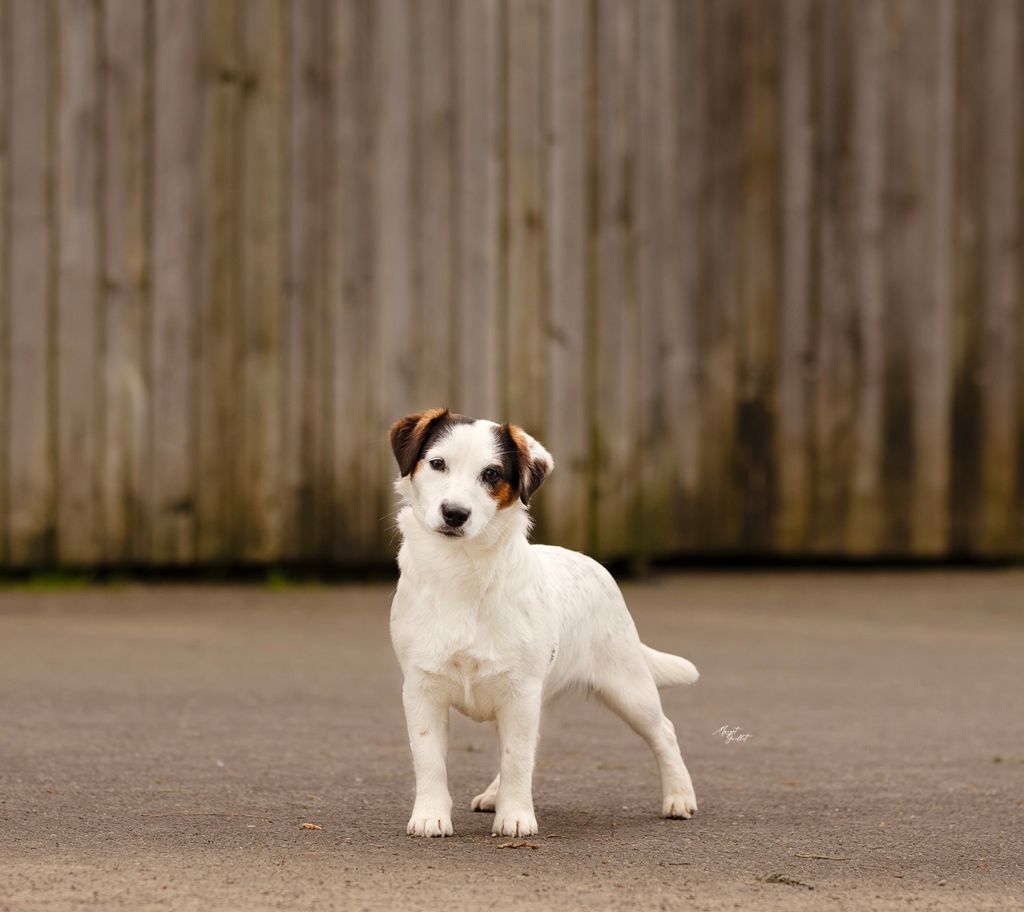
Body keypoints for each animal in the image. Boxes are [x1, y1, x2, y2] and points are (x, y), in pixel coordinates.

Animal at [387, 409, 700, 839]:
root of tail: (594, 564)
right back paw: (494, 793)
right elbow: (430, 758)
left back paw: (679, 797)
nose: (455, 513)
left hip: (628, 688)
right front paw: (431, 815)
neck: (462, 572)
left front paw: (516, 815)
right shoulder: (422, 689)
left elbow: (517, 758)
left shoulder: (519, 692)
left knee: (663, 733)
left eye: (491, 474)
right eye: (437, 463)